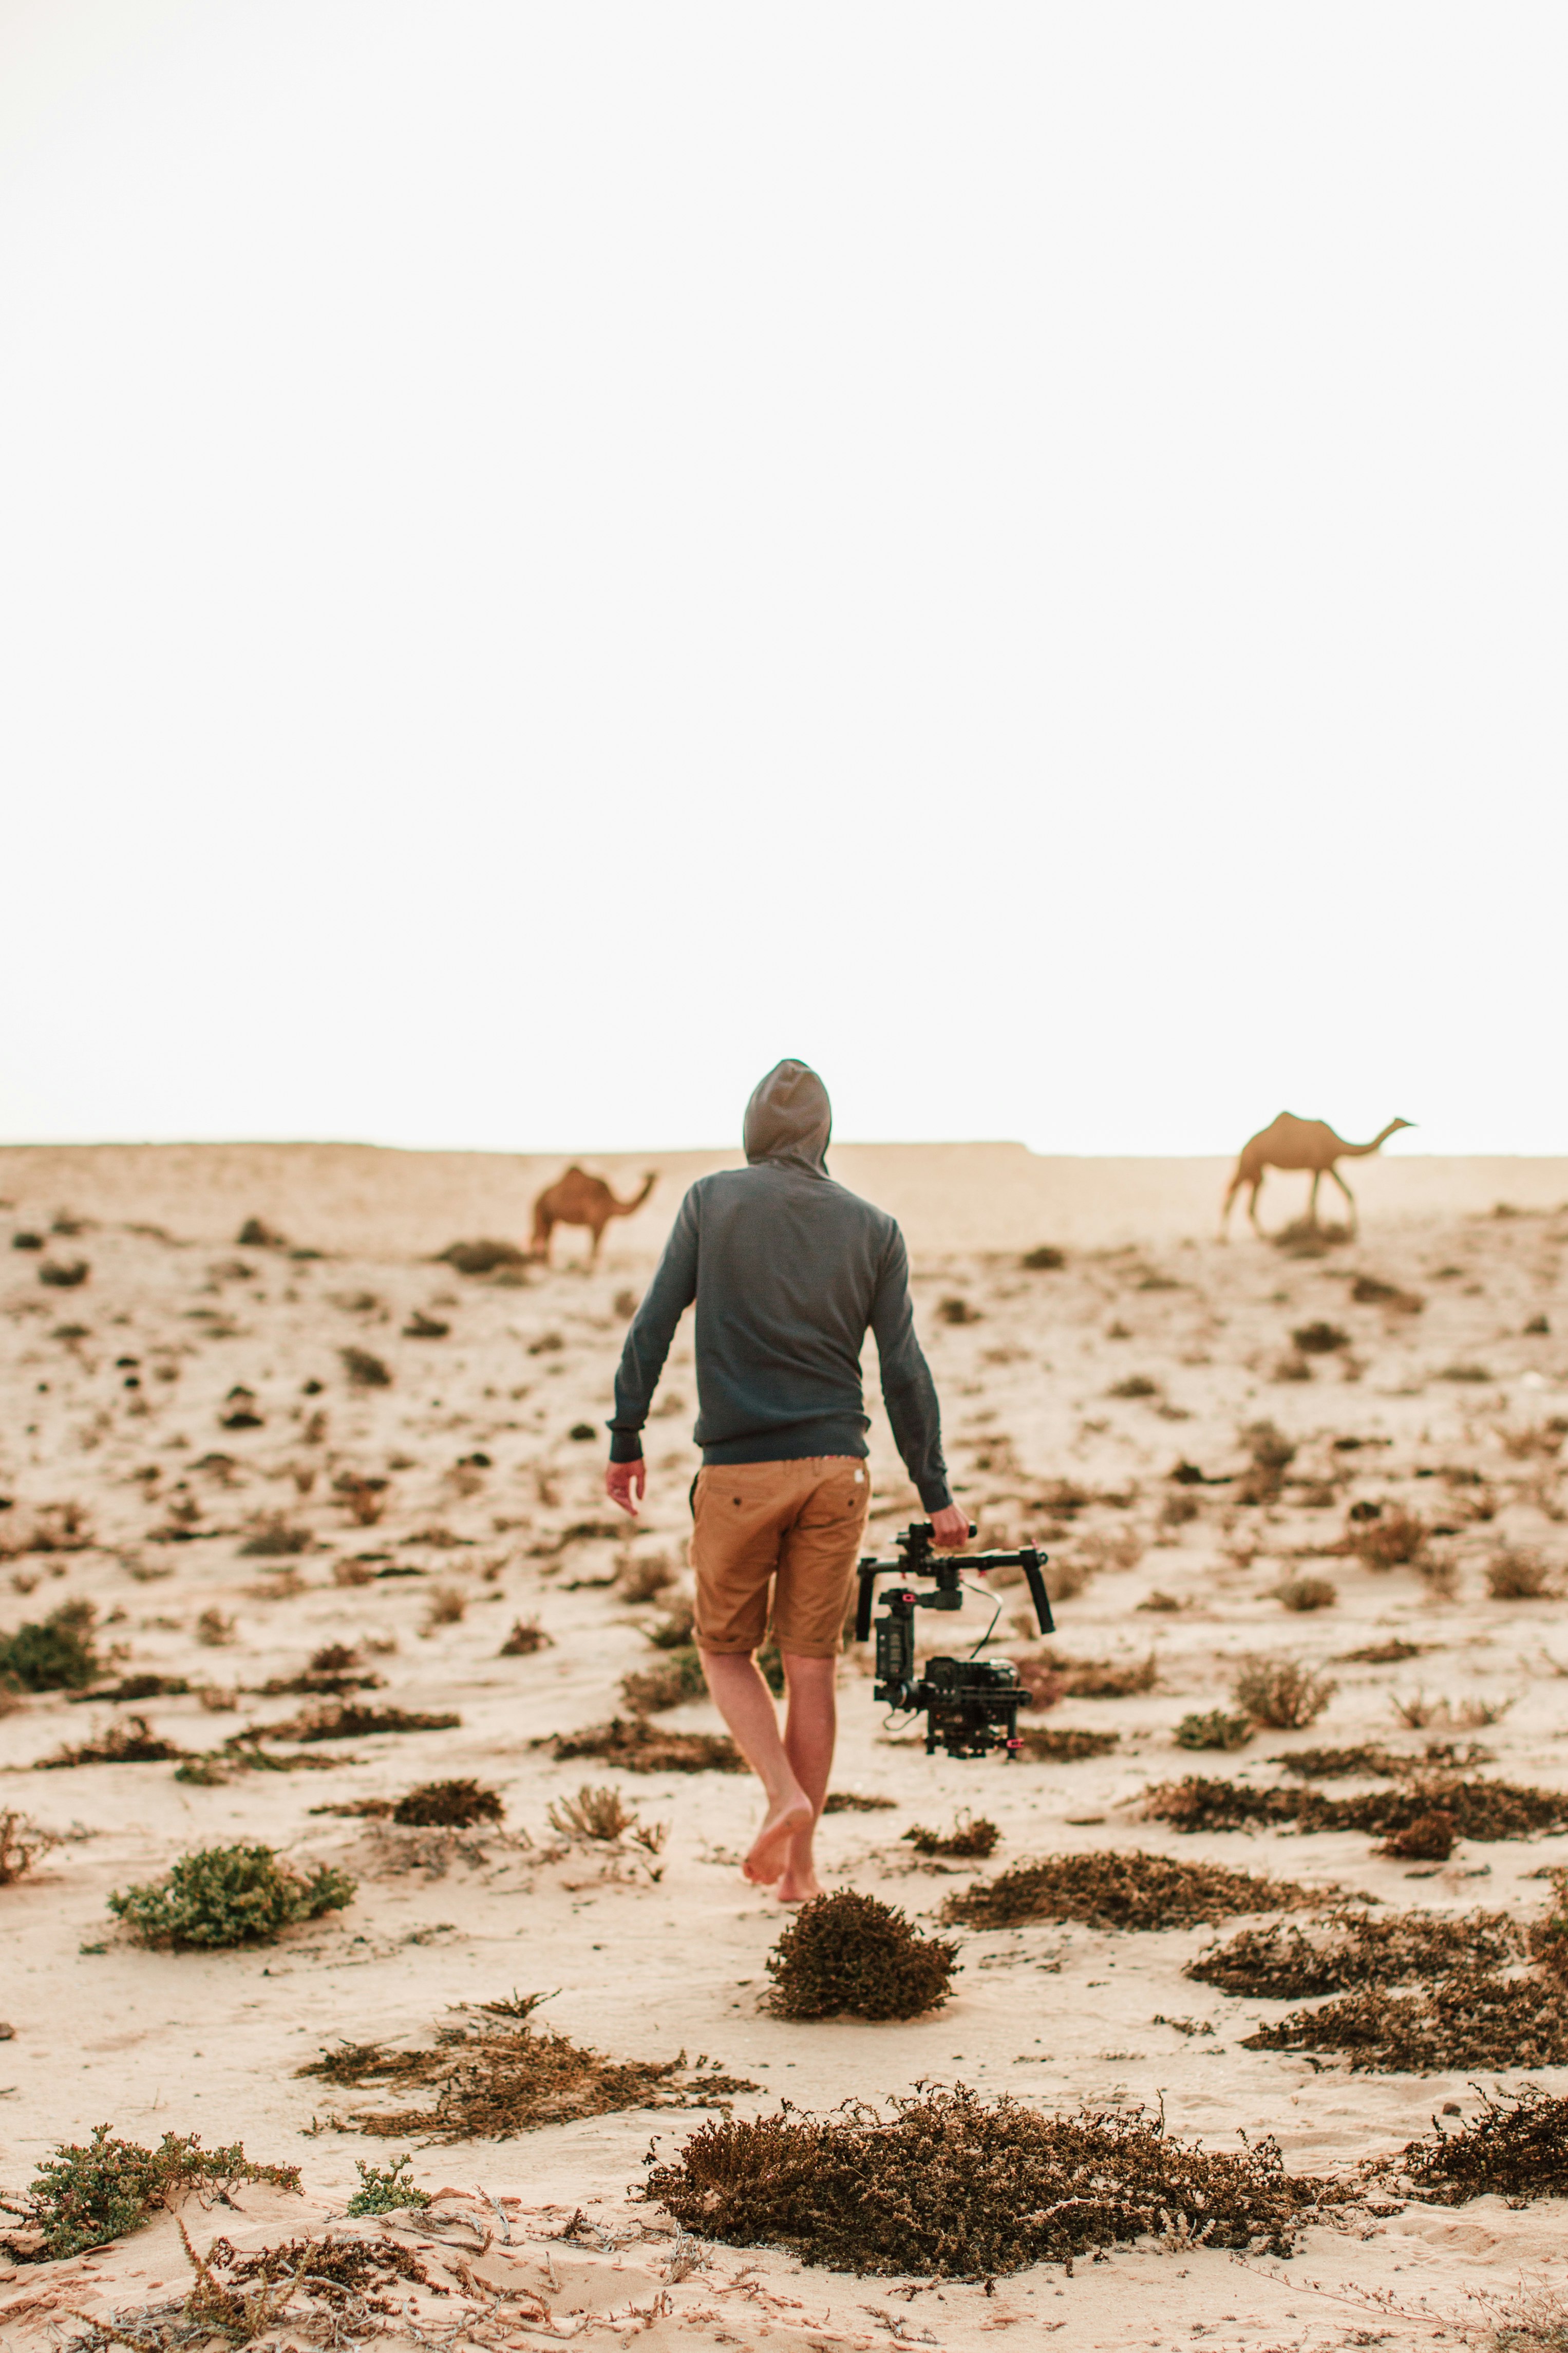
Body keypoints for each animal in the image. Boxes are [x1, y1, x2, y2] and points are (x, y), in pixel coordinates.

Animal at [534, 1162, 658, 1271]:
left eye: (655, 1176)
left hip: (549, 1218)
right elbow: (595, 1246)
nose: (652, 1177)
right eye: (648, 1176)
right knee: (541, 1238)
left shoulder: (604, 1222)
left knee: (546, 1237)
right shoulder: (598, 1221)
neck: (612, 1202)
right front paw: (593, 1267)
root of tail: (539, 1197)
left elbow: (596, 1245)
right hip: (541, 1212)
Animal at [1222, 1110, 1420, 1242]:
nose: (1414, 1124)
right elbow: (1313, 1200)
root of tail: (1246, 1145)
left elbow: (1347, 1193)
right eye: (1402, 1121)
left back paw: (1260, 1235)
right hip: (1251, 1160)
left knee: (1248, 1198)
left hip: (1256, 1167)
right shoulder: (1318, 1166)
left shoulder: (1328, 1165)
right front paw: (1314, 1234)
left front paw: (1353, 1231)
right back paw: (1228, 1238)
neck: (1337, 1144)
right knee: (1235, 1193)